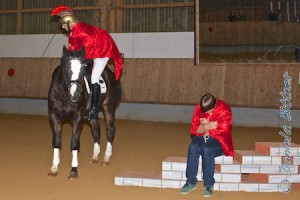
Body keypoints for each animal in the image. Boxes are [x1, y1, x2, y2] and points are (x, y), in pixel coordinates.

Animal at [48, 45, 120, 180]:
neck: (65, 95)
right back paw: (95, 156)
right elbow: (56, 141)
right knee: (96, 130)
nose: (75, 94)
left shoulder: (77, 118)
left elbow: (74, 143)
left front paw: (74, 170)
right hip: (93, 114)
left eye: (82, 68)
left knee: (110, 129)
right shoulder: (54, 117)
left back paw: (106, 158)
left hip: (108, 107)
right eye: (66, 67)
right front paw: (54, 168)